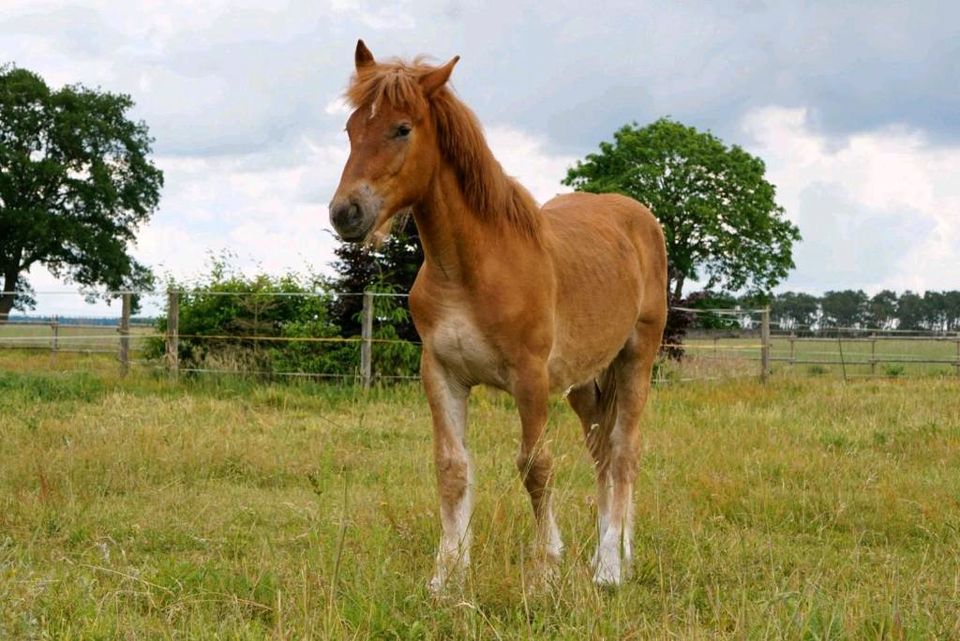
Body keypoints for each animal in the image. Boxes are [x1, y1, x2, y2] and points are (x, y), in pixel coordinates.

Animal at [326, 40, 664, 592]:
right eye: (351, 128)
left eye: (402, 129)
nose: (345, 213)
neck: (469, 269)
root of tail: (640, 219)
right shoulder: (442, 375)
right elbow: (452, 468)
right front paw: (447, 576)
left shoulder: (530, 380)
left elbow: (535, 465)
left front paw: (545, 566)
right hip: (585, 384)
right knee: (601, 453)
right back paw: (609, 553)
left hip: (636, 358)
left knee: (624, 452)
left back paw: (611, 568)